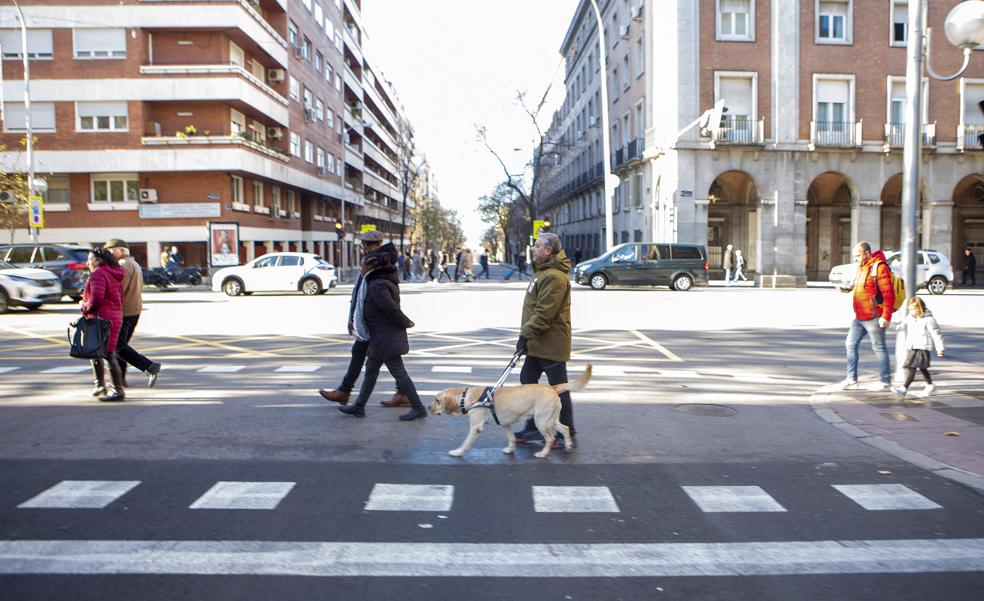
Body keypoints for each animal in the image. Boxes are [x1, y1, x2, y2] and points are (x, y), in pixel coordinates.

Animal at [428, 364, 592, 458]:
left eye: (437, 400)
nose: (428, 408)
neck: (466, 397)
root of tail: (551, 387)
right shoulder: (505, 424)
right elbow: (511, 438)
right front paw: (510, 449)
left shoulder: (476, 427)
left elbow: (466, 442)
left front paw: (458, 452)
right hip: (550, 420)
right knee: (565, 428)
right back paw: (568, 445)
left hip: (541, 421)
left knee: (551, 438)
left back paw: (543, 454)